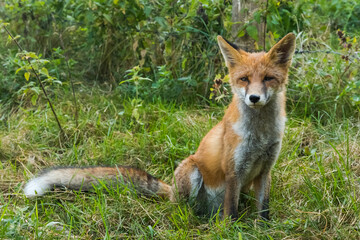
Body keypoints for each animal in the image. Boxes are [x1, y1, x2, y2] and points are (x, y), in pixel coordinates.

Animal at [24, 32, 296, 220]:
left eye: (268, 79)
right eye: (244, 79)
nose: (254, 98)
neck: (260, 134)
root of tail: (171, 190)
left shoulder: (265, 169)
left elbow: (264, 209)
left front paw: (262, 229)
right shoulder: (233, 170)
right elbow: (230, 211)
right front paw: (231, 230)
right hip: (192, 172)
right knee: (182, 209)